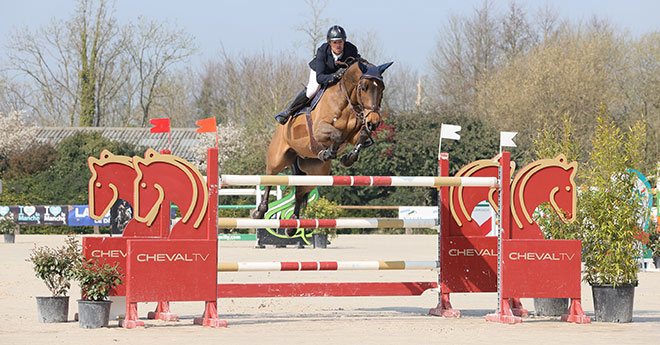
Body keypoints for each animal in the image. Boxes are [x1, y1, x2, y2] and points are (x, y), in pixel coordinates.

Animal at [249, 60, 392, 235]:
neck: (346, 102)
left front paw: (347, 158)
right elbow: (337, 134)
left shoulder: (354, 134)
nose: (374, 122)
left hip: (317, 173)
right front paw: (329, 152)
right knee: (270, 179)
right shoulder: (318, 130)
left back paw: (293, 225)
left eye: (382, 88)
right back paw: (260, 212)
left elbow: (362, 135)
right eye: (364, 87)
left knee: (300, 191)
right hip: (277, 158)